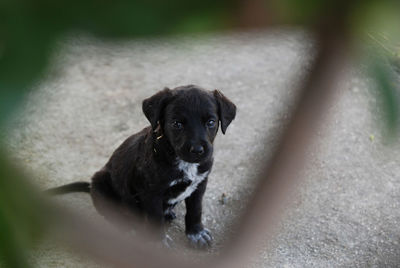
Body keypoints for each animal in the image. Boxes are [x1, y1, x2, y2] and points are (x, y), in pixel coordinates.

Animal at [50, 85, 238, 248]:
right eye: (177, 124)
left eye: (211, 122)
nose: (198, 150)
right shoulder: (151, 192)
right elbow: (155, 218)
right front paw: (158, 242)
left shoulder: (200, 184)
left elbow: (195, 210)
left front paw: (196, 233)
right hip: (101, 184)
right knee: (113, 214)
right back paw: (129, 228)